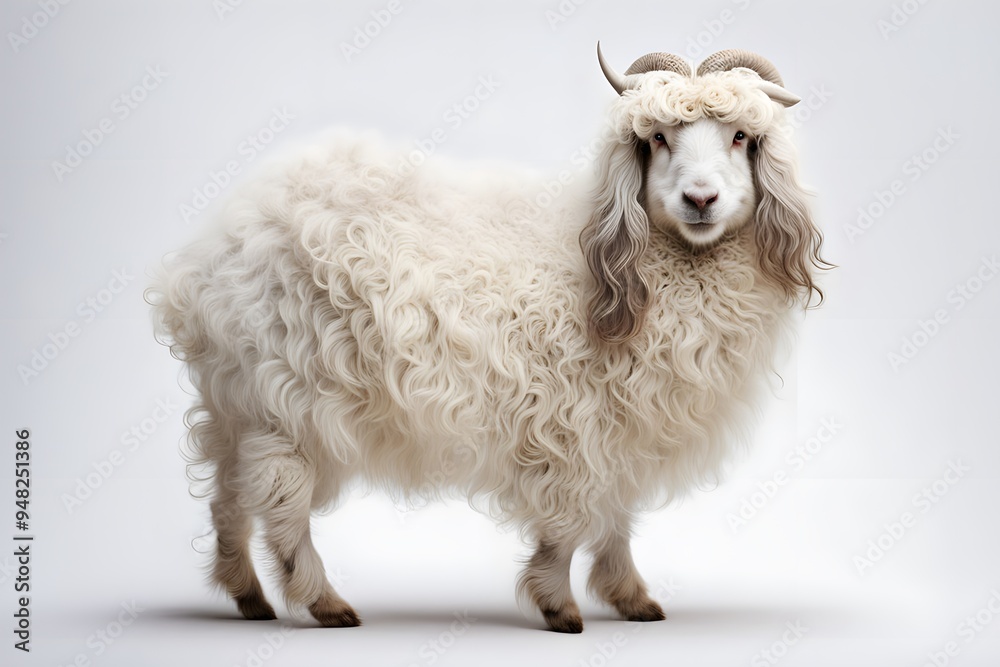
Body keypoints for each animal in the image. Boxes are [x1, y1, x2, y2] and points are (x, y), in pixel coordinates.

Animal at [149, 44, 828, 633]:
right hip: (285, 402)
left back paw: (247, 595)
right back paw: (323, 603)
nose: (700, 198)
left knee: (229, 497)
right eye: (656, 139)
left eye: (741, 137)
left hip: (236, 405)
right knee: (280, 503)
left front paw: (631, 597)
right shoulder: (572, 421)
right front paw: (559, 607)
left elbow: (615, 514)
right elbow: (570, 521)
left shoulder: (620, 424)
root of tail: (206, 258)